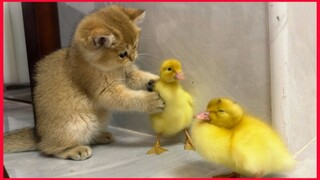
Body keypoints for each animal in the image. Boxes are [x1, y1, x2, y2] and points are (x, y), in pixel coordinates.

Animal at [4, 5, 165, 160]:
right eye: (122, 54)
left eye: (136, 45)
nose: (133, 57)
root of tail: (38, 135)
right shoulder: (105, 91)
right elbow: (129, 98)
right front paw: (151, 101)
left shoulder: (129, 74)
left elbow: (142, 77)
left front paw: (158, 80)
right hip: (79, 123)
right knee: (48, 149)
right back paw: (76, 150)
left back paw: (101, 136)